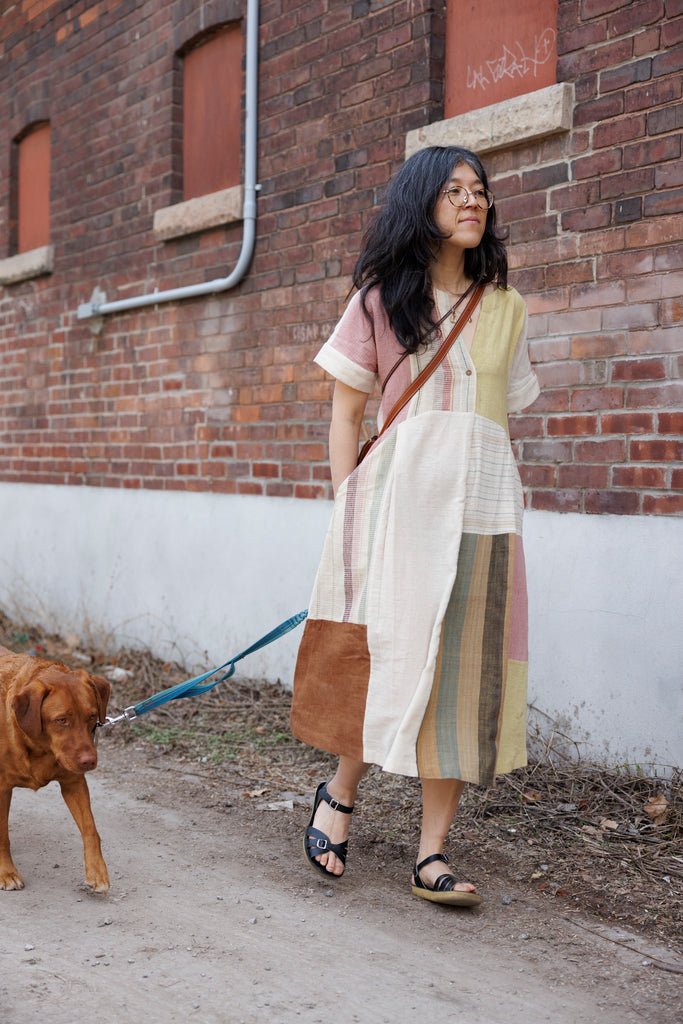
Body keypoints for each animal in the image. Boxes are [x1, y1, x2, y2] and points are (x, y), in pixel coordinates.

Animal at [0, 643, 111, 892]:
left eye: (92, 716)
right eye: (61, 720)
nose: (90, 761)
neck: (39, 747)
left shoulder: (74, 782)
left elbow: (91, 829)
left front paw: (97, 872)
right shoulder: (0, 789)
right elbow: (2, 836)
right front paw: (6, 872)